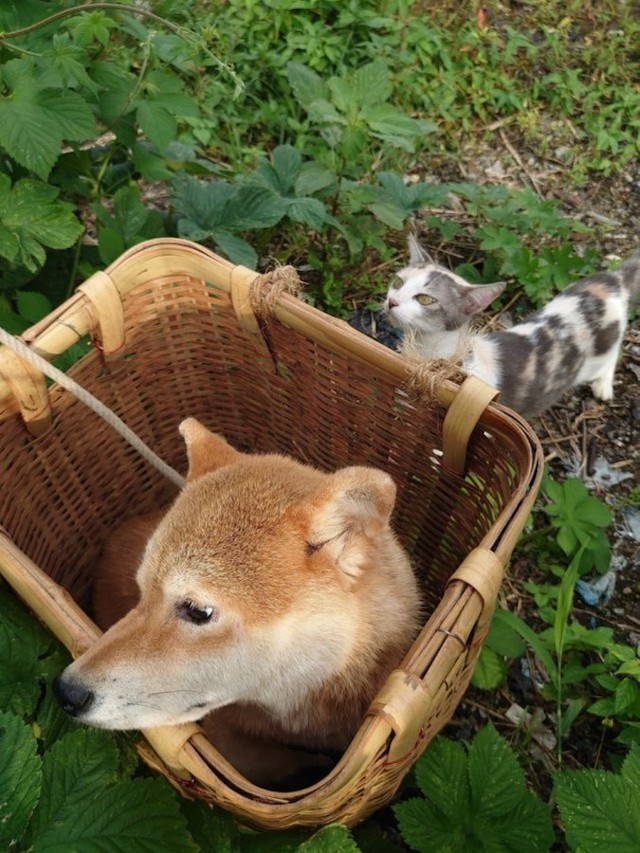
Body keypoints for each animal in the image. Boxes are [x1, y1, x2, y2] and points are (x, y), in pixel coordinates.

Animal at [382, 235, 636, 418]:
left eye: (425, 299)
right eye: (398, 282)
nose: (392, 301)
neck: (428, 351)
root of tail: (611, 281)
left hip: (601, 351)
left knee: (611, 357)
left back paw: (603, 386)